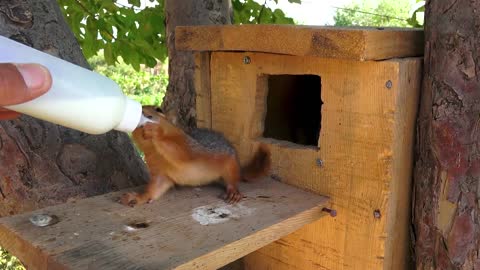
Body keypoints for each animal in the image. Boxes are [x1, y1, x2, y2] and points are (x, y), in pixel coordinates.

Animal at [121, 105, 270, 207]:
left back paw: (233, 192)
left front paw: (155, 131)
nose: (141, 110)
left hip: (230, 165)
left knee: (233, 179)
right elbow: (156, 187)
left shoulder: (188, 147)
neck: (155, 151)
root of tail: (239, 166)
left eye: (158, 109)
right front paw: (138, 197)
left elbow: (179, 152)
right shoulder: (160, 172)